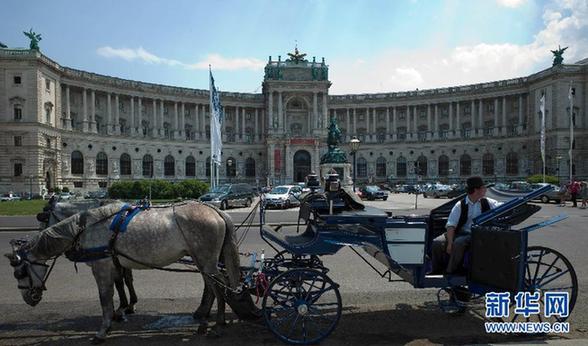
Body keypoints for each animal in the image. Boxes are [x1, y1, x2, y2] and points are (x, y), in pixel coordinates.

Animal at [6, 200, 260, 344]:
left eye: (19, 273)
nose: (29, 299)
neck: (86, 226)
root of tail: (215, 209)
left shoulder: (102, 266)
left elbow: (105, 297)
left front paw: (105, 328)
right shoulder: (116, 263)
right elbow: (122, 284)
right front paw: (124, 309)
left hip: (206, 259)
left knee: (218, 285)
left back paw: (216, 324)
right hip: (202, 259)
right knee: (215, 285)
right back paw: (209, 320)